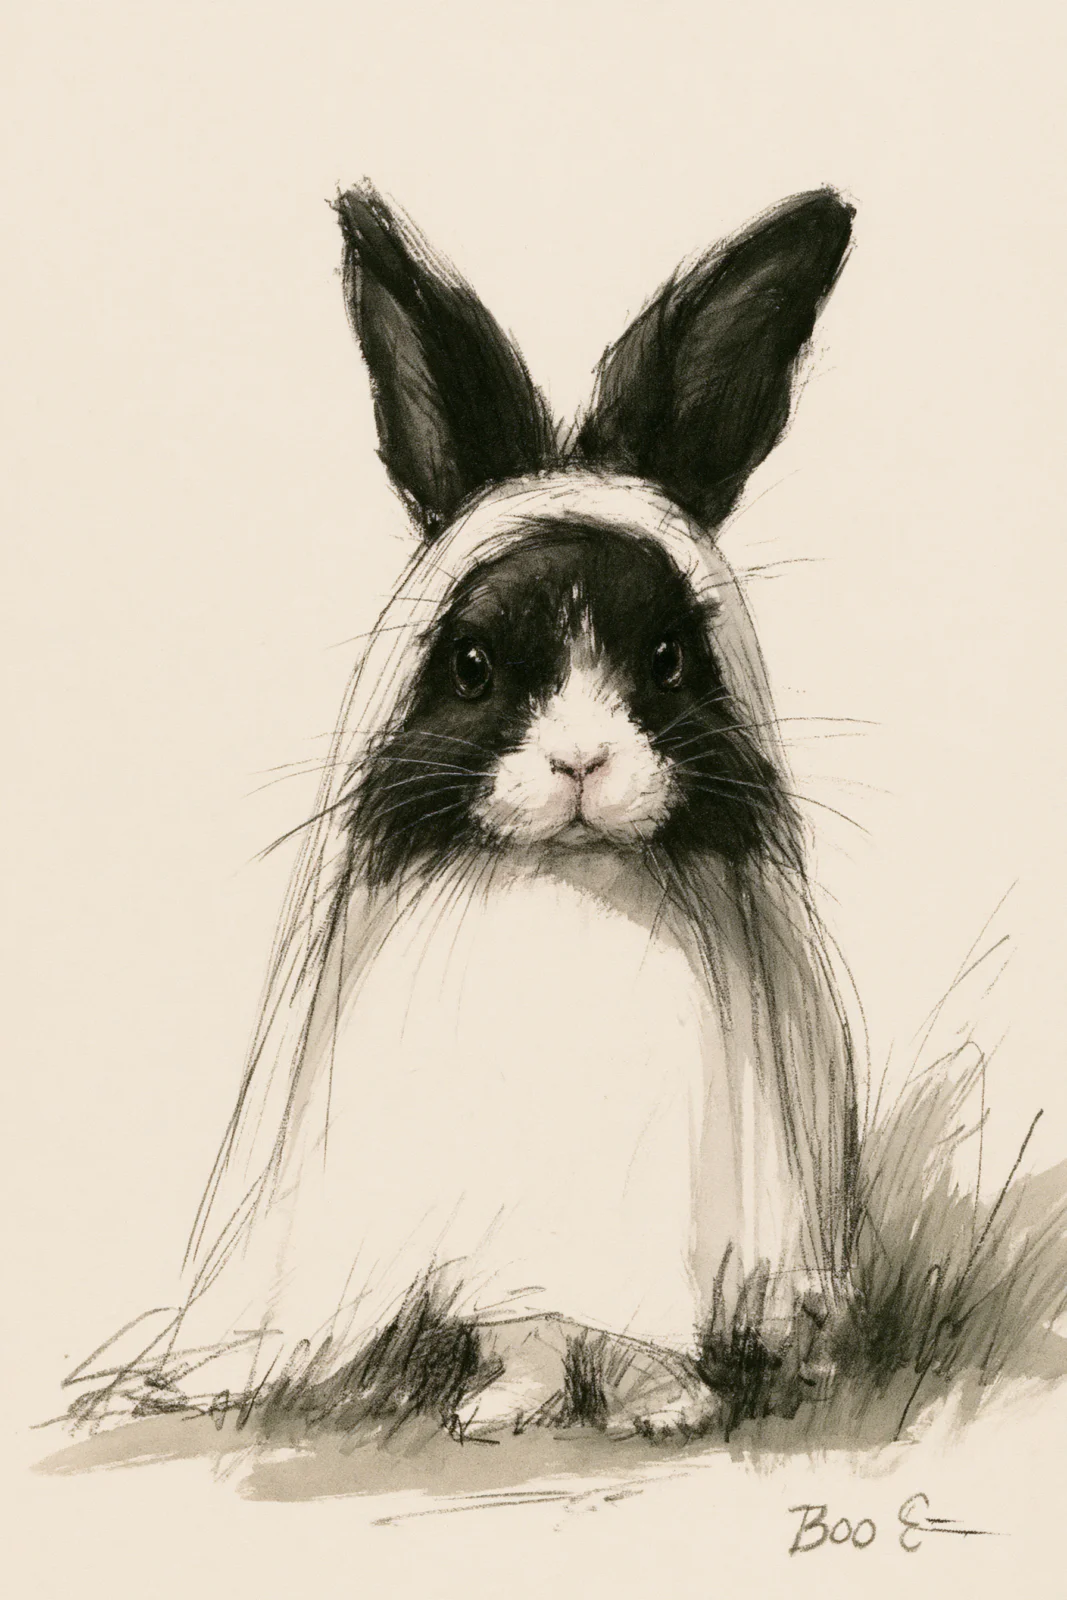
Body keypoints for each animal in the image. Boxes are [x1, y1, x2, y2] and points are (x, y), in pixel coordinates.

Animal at [69, 184, 859, 1442]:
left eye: (667, 659)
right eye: (475, 664)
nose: (580, 761)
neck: (568, 885)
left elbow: (633, 1328)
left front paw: (660, 1407)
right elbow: (525, 1323)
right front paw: (505, 1409)